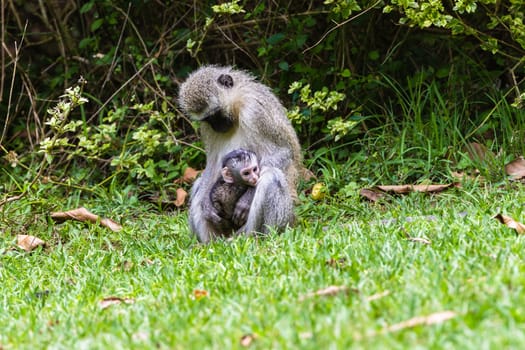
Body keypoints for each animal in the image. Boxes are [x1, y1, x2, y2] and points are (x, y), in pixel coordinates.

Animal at [178, 64, 300, 242]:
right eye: (207, 119)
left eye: (216, 113)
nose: (217, 126)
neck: (237, 109)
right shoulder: (206, 130)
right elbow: (213, 165)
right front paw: (206, 204)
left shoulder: (256, 111)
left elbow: (282, 152)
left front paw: (247, 198)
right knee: (200, 184)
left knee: (272, 177)